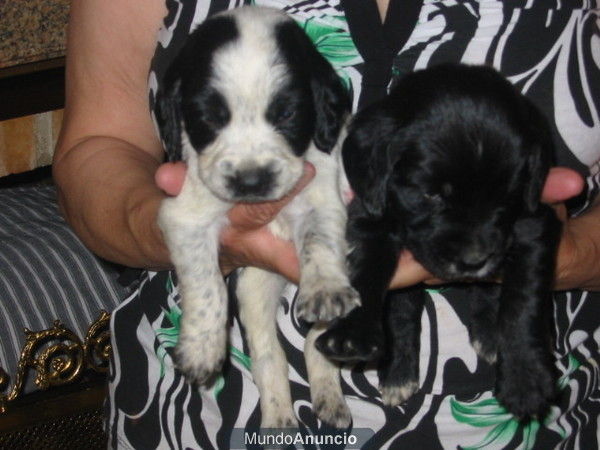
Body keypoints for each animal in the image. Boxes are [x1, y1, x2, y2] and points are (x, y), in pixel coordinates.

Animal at [157, 7, 358, 428]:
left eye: (287, 113)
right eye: (209, 117)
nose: (251, 181)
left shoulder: (320, 196)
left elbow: (319, 242)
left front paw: (325, 288)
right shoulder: (185, 216)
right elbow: (207, 286)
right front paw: (201, 349)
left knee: (316, 342)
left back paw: (329, 398)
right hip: (255, 289)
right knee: (269, 354)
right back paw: (279, 419)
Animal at [318, 64, 564, 422]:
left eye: (507, 193)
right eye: (431, 194)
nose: (474, 260)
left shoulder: (533, 222)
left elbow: (523, 299)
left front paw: (524, 377)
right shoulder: (371, 216)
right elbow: (378, 285)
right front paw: (356, 338)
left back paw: (489, 333)